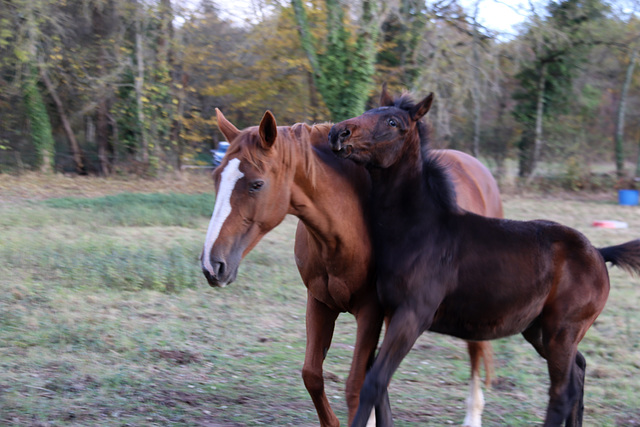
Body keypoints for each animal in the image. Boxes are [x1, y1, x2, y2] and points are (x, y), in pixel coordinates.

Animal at [202, 107, 502, 427]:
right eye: (216, 177)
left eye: (256, 184)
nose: (212, 264)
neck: (344, 228)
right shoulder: (320, 302)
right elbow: (313, 376)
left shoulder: (370, 311)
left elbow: (355, 386)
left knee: (475, 350)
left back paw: (472, 415)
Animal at [328, 92, 640, 426]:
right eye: (369, 111)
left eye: (392, 122)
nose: (338, 132)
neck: (419, 230)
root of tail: (599, 252)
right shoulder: (390, 312)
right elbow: (382, 388)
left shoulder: (413, 315)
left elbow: (374, 383)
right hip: (540, 331)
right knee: (579, 370)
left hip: (562, 332)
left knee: (562, 392)